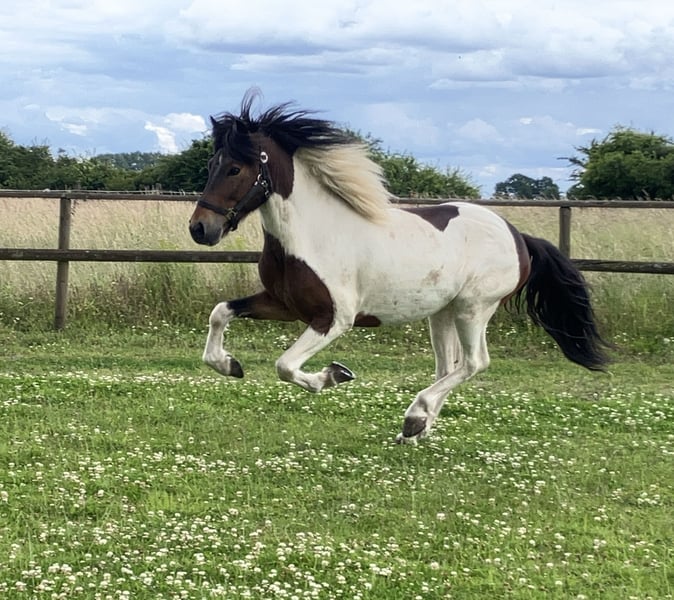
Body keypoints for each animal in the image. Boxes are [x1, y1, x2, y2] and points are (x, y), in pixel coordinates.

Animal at [188, 91, 610, 444]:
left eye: (235, 169)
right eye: (211, 163)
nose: (200, 228)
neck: (312, 235)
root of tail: (519, 237)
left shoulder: (334, 318)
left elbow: (285, 365)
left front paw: (335, 375)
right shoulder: (284, 304)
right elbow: (220, 312)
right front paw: (229, 365)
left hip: (474, 308)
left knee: (474, 362)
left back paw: (414, 417)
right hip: (442, 313)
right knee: (447, 367)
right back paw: (417, 429)